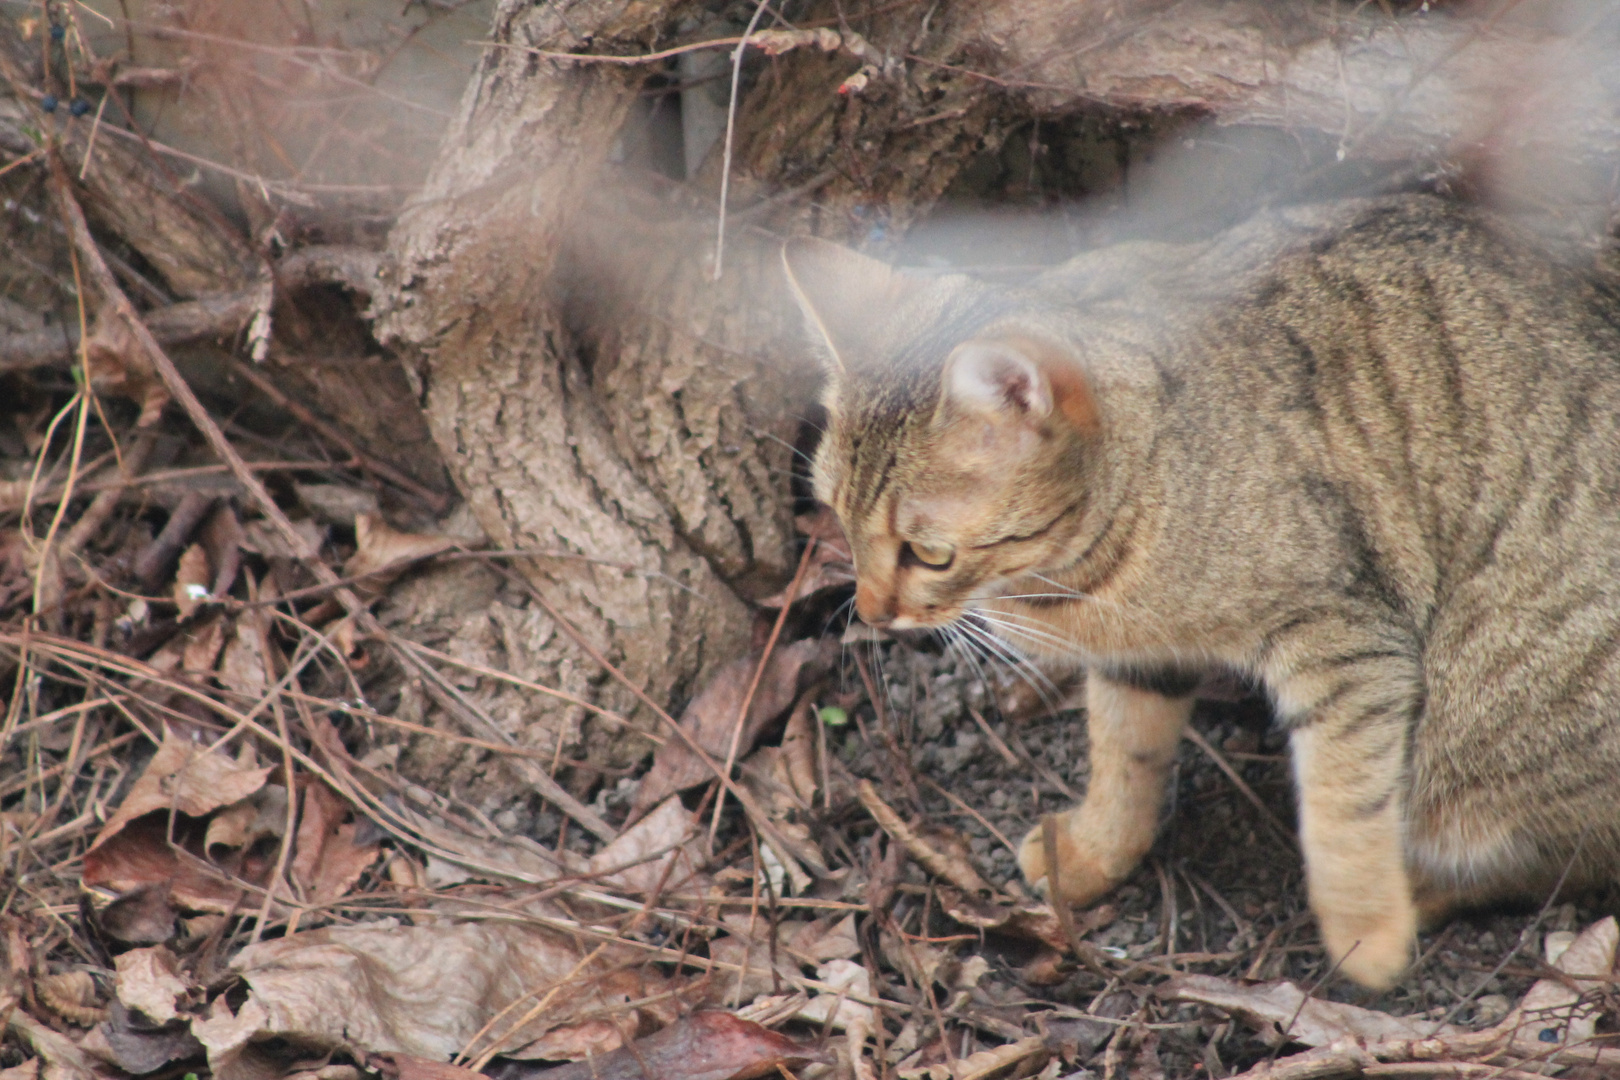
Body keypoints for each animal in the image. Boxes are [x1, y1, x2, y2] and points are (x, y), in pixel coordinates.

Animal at [784, 198, 1620, 990]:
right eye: (834, 515)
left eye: (928, 553)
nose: (873, 612)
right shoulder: (1141, 656)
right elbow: (1124, 757)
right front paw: (1091, 853)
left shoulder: (1347, 640)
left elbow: (1344, 803)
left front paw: (1367, 933)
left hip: (1484, 726)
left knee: (1557, 855)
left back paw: (1414, 895)